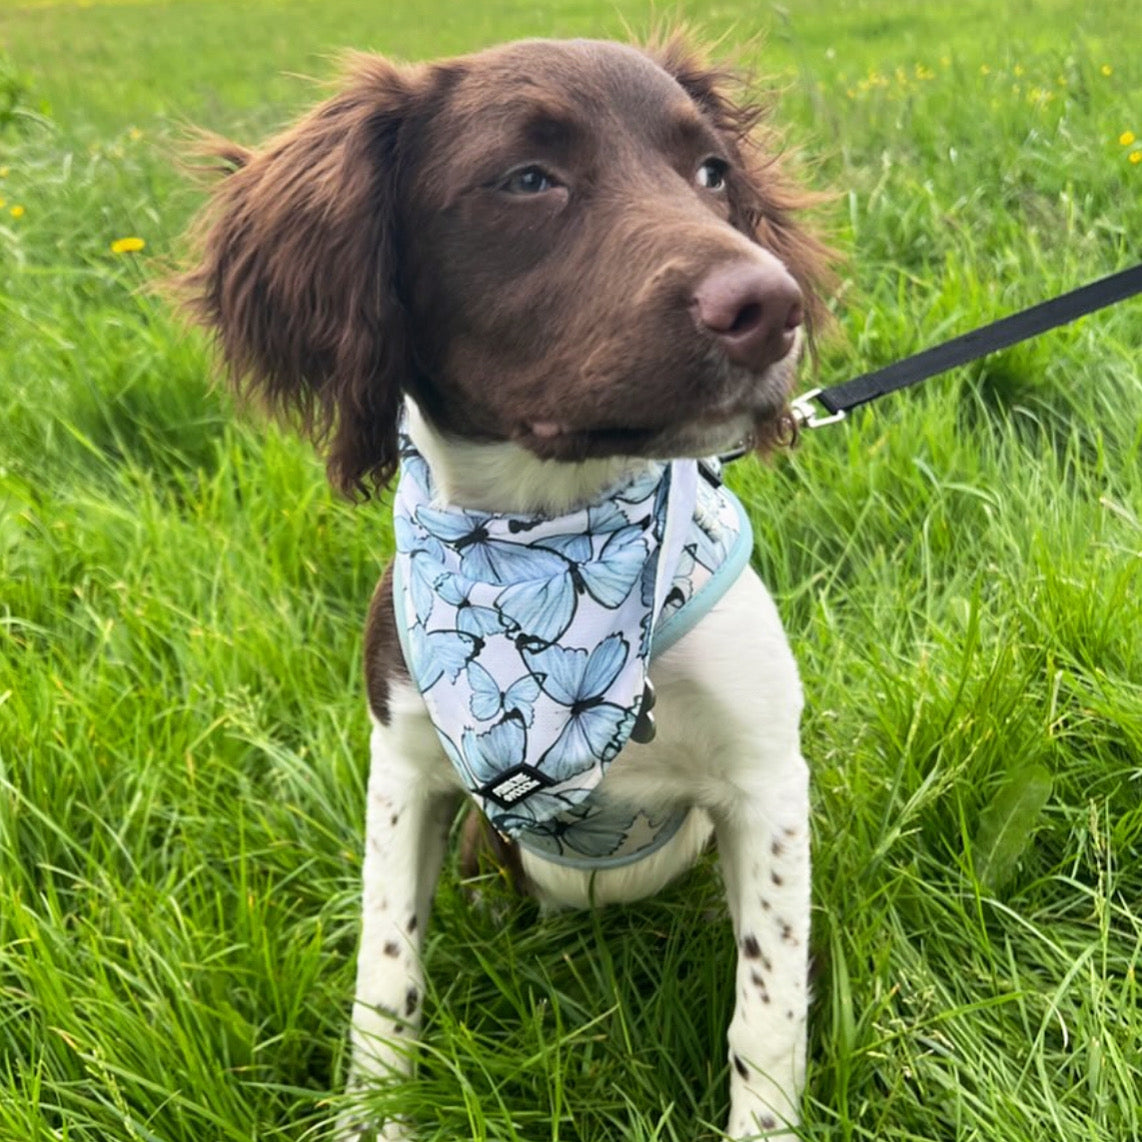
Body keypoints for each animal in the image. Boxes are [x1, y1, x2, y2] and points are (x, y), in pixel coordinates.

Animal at [180, 31, 831, 1137]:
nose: (772, 308)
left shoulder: (765, 780)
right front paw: (373, 1116)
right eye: (527, 180)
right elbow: (384, 980)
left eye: (712, 173)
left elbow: (764, 1012)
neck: (546, 539)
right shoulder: (403, 768)